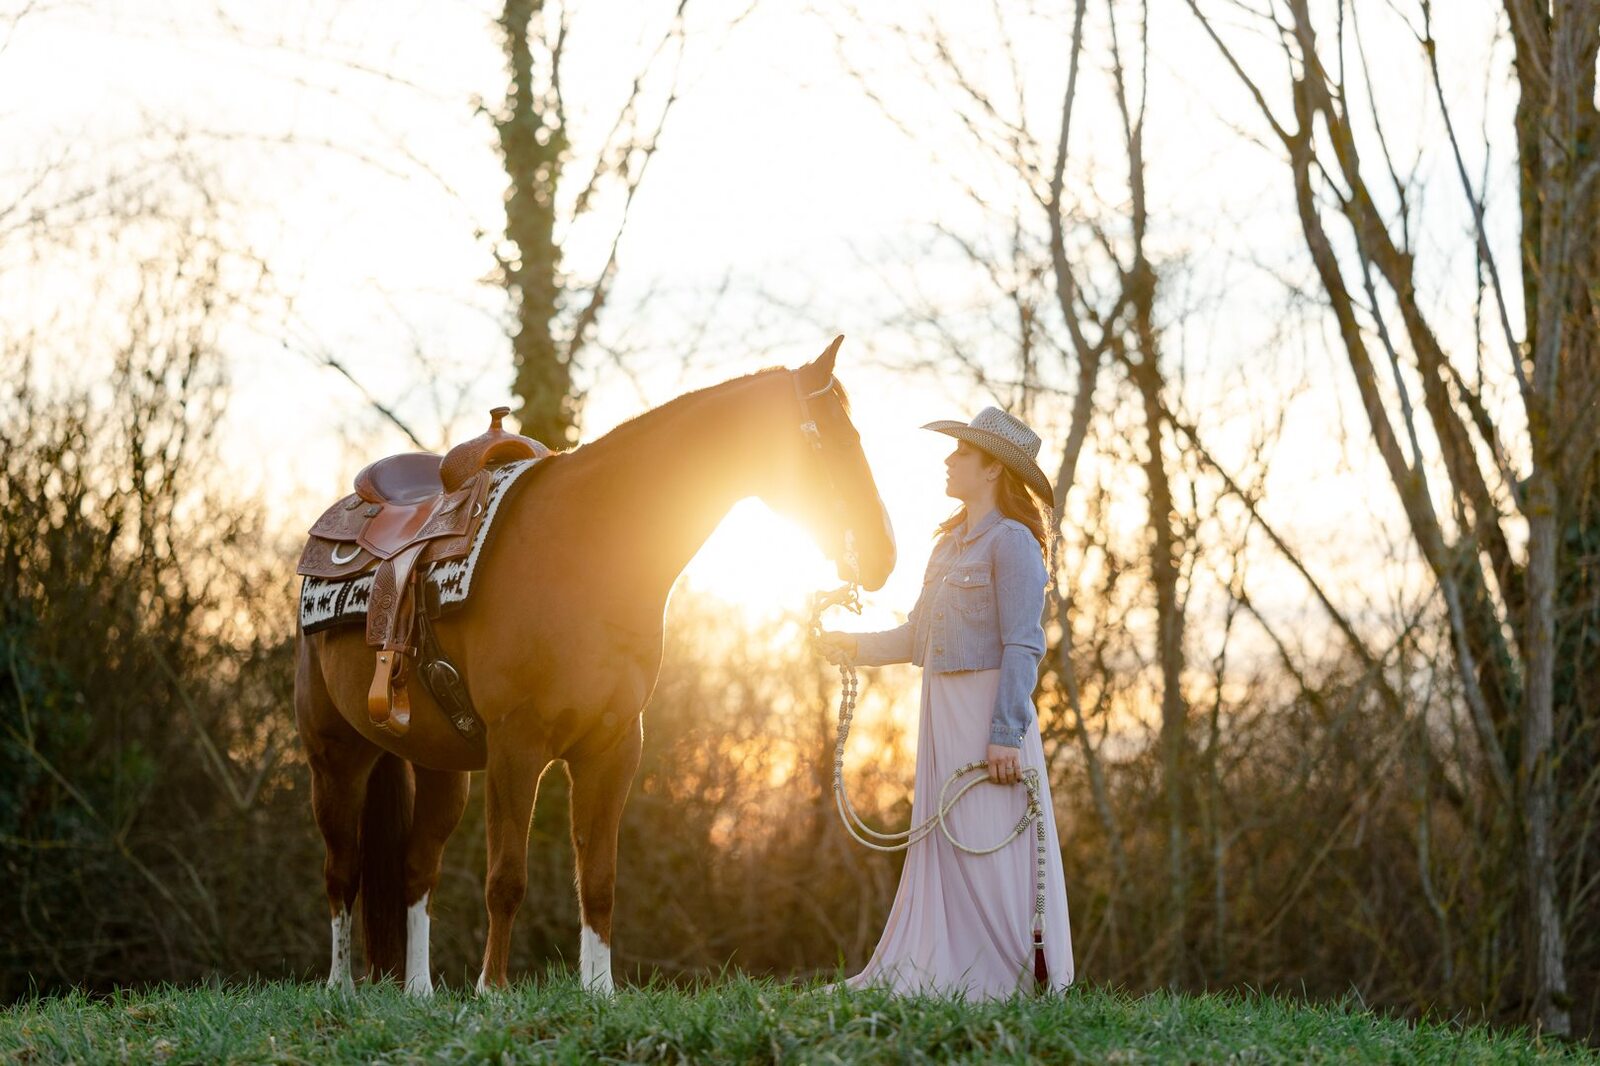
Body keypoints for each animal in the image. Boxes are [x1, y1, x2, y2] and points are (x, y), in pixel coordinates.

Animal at [293, 336, 895, 995]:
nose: (886, 555)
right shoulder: (517, 745)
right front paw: (492, 990)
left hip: (439, 767)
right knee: (340, 870)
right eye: (834, 439)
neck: (584, 553)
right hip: (337, 757)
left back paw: (420, 992)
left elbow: (600, 879)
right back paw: (341, 987)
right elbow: (507, 877)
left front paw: (600, 991)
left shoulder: (612, 747)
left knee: (417, 868)